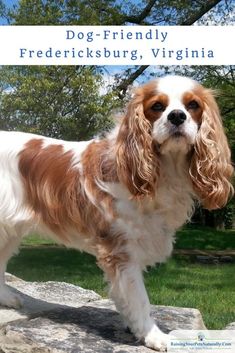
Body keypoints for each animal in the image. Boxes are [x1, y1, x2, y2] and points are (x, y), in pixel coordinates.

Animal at [0, 74, 233, 350]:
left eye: (193, 105)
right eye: (157, 106)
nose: (177, 116)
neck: (163, 169)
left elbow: (126, 297)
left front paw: (131, 323)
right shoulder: (122, 250)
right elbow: (139, 298)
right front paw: (153, 335)